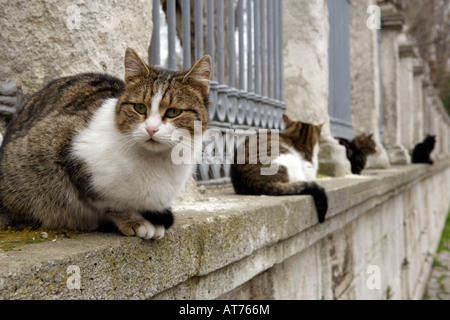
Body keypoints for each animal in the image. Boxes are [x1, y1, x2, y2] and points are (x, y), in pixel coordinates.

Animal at [0, 48, 213, 240]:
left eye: (173, 112)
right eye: (139, 107)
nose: (151, 129)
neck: (155, 162)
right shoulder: (67, 151)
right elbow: (110, 203)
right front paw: (134, 221)